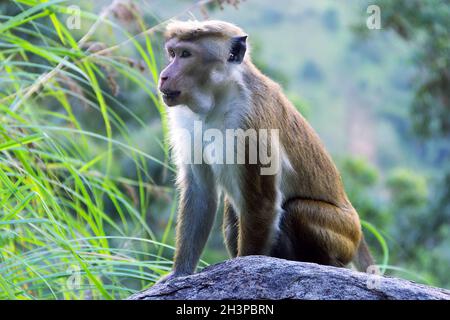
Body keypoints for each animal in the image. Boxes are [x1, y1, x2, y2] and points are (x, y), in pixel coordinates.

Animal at [156, 19, 374, 280]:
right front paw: (179, 273)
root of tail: (358, 233)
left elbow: (261, 203)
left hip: (344, 235)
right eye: (172, 53)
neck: (219, 98)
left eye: (186, 55)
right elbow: (200, 191)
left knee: (296, 210)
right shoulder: (186, 119)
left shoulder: (252, 123)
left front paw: (242, 270)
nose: (164, 76)